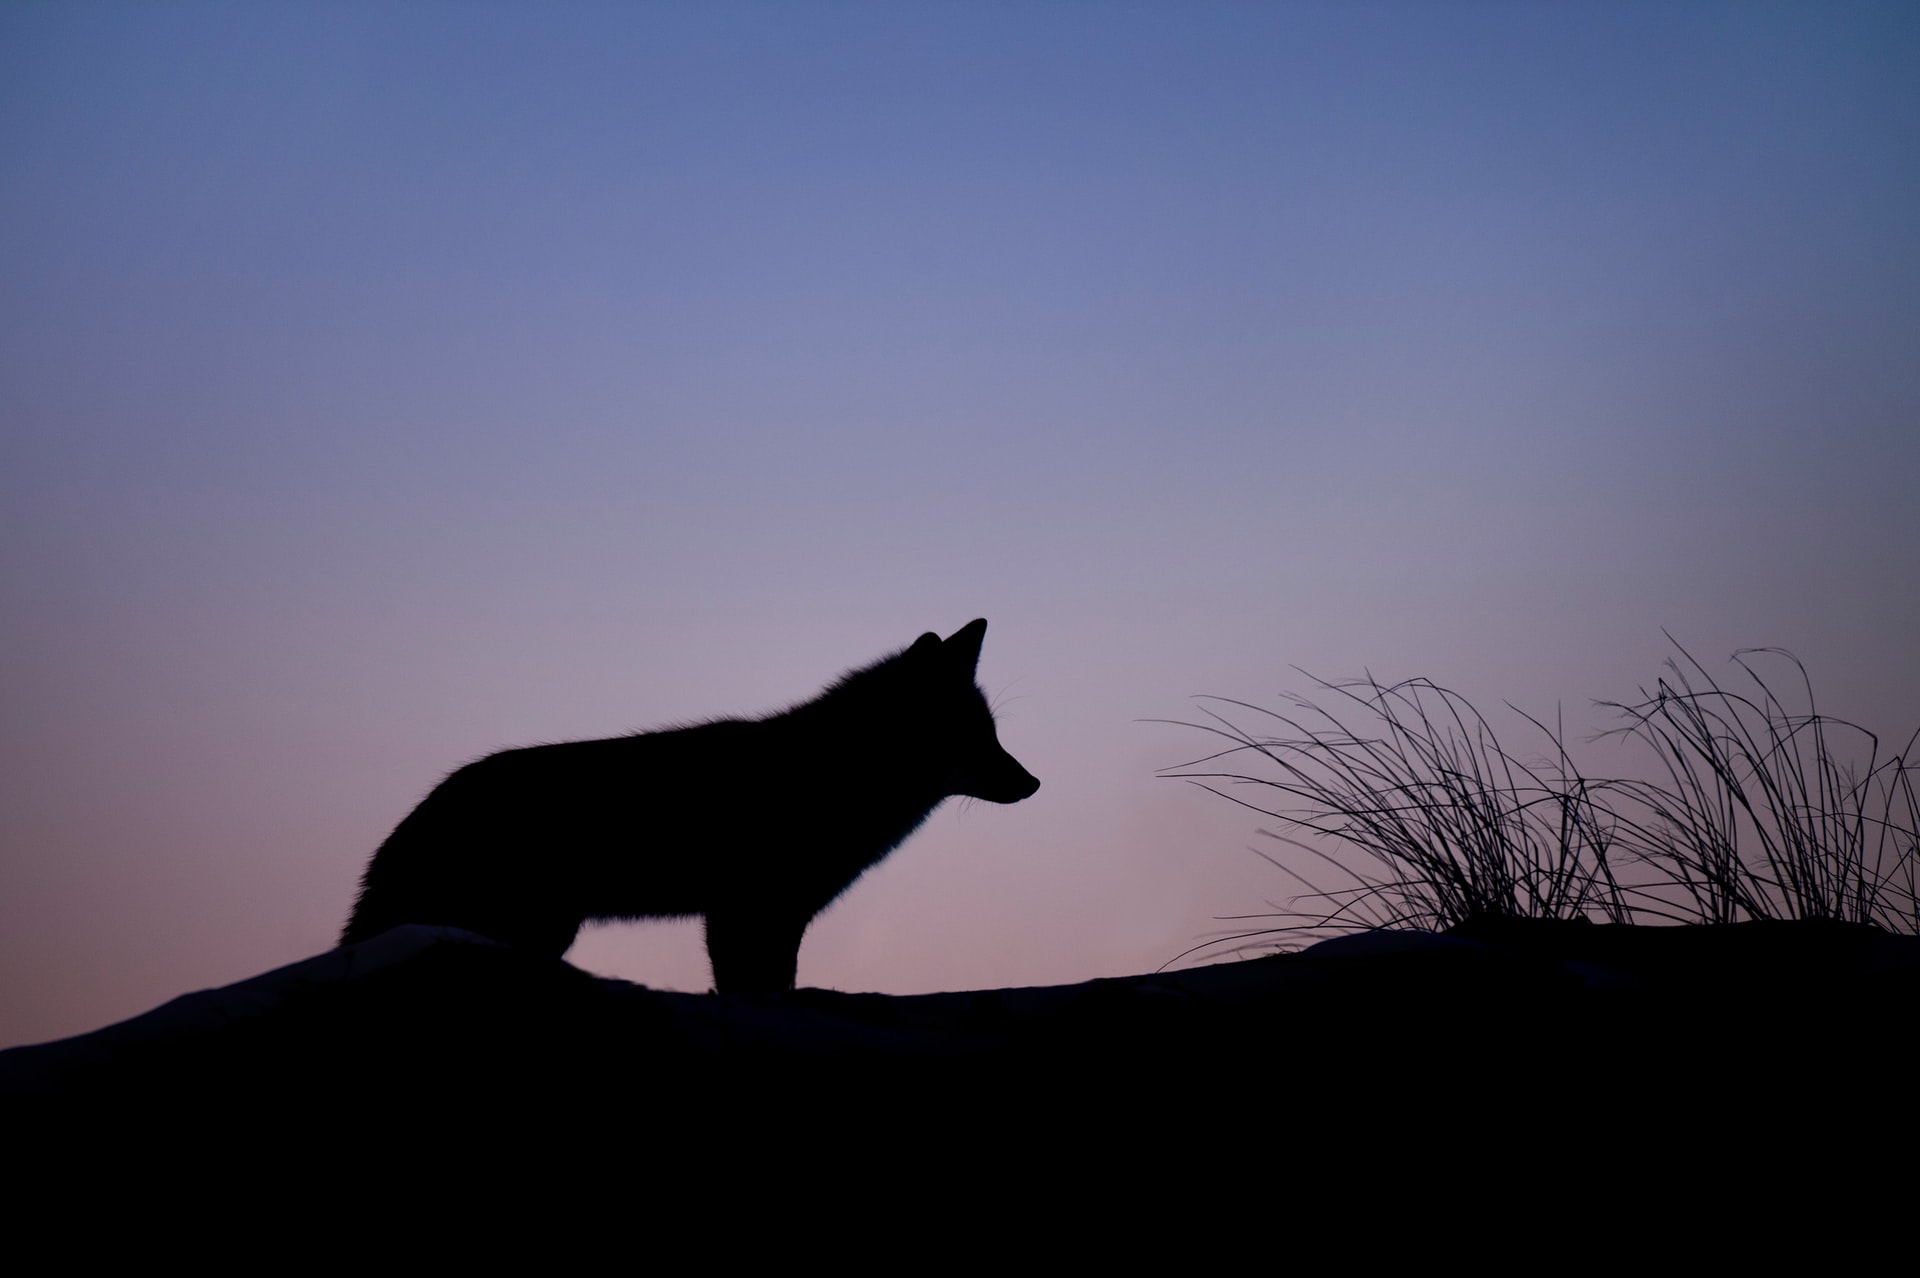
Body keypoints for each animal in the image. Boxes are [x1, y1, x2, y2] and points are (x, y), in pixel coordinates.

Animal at [340, 619, 1038, 994]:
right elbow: (754, 990)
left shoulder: (776, 916)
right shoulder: (745, 912)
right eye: (976, 737)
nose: (1033, 783)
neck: (833, 774)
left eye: (993, 734)